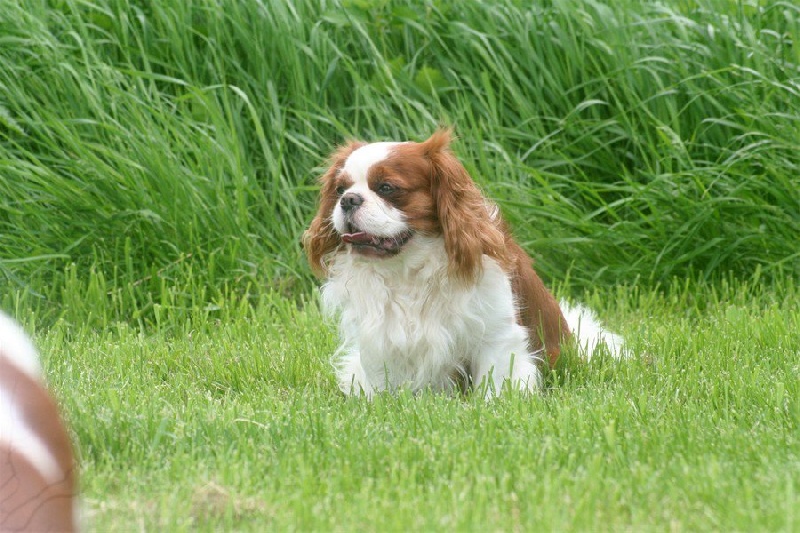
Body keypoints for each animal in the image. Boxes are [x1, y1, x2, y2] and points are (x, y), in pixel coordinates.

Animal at [304, 128, 620, 394]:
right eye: (339, 189)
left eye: (386, 188)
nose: (348, 200)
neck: (408, 268)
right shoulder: (383, 341)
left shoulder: (496, 336)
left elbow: (495, 387)